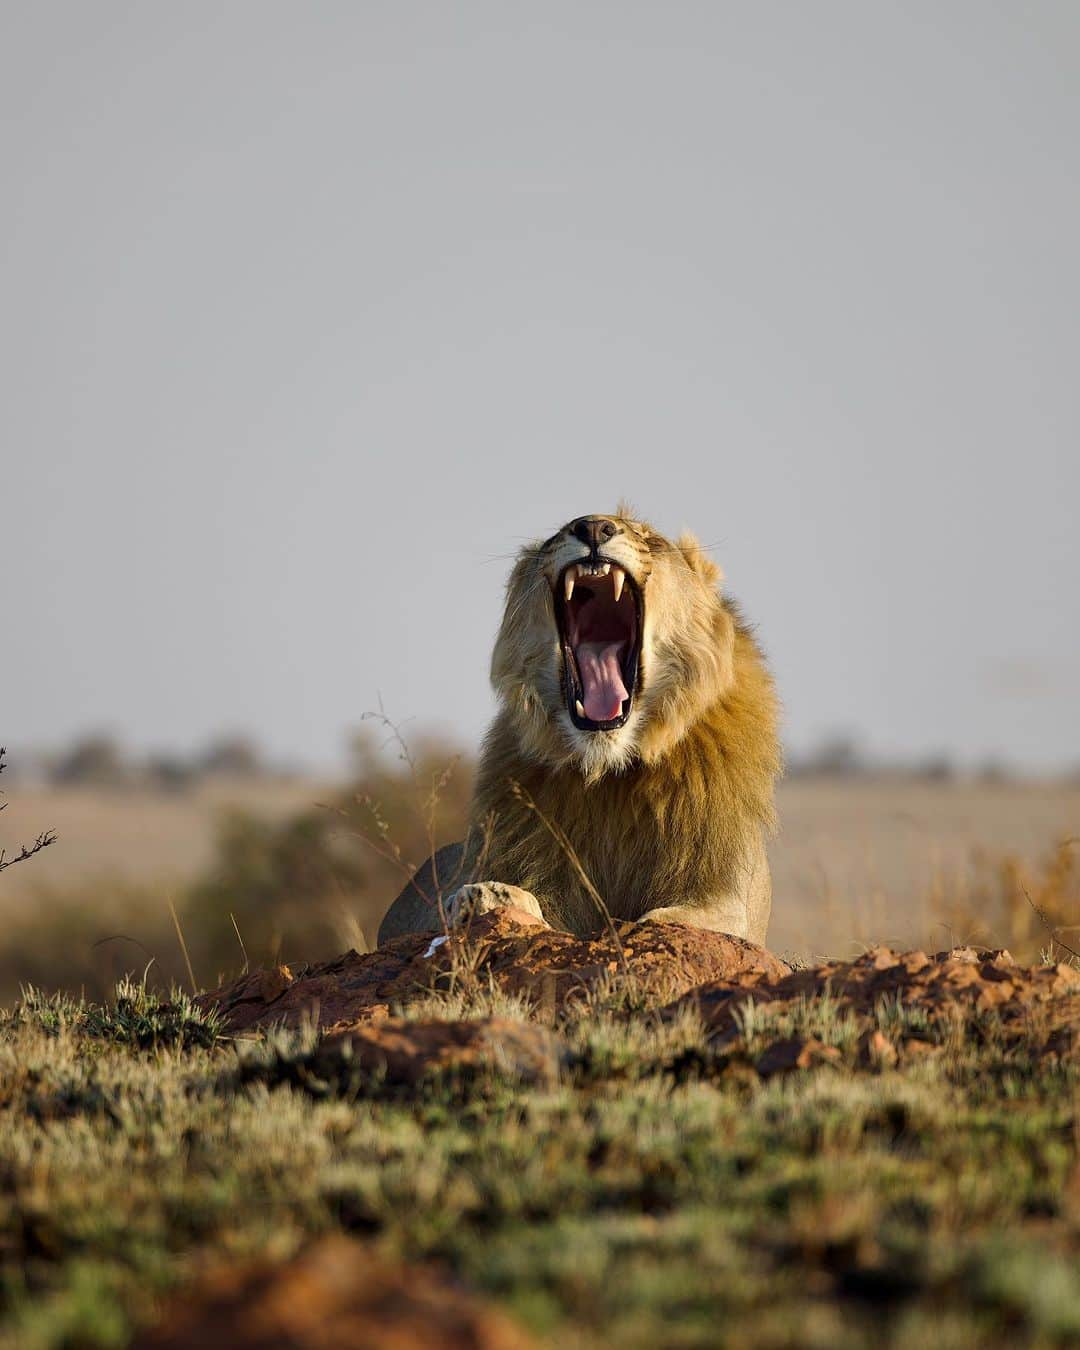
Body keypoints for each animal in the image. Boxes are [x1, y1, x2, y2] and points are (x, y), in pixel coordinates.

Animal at [375, 507, 783, 950]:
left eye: (651, 539)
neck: (609, 775)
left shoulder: (725, 894)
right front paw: (484, 896)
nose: (593, 527)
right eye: (556, 535)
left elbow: (680, 918)